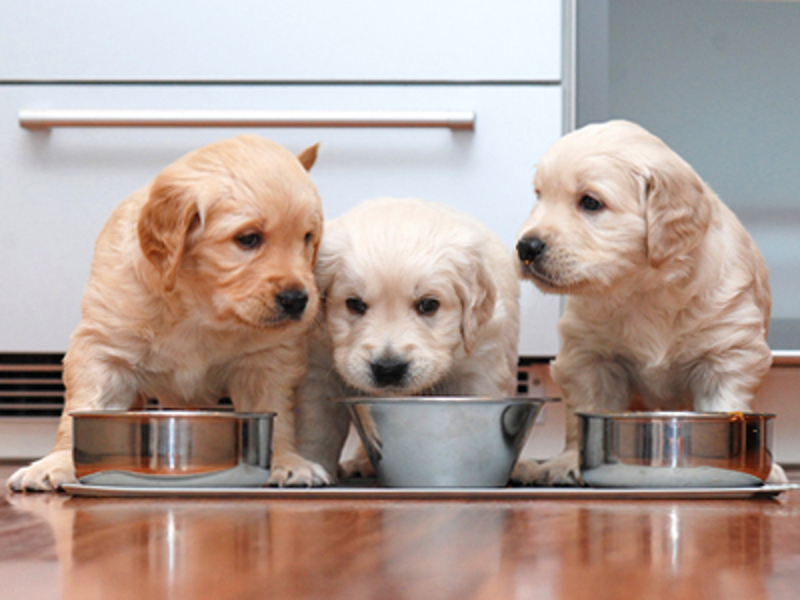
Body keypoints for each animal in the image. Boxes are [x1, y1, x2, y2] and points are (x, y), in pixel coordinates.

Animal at [9, 134, 328, 490]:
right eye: (248, 239)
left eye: (308, 237)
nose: (297, 300)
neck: (200, 308)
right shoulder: (103, 350)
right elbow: (80, 410)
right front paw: (57, 462)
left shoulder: (268, 358)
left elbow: (276, 412)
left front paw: (287, 461)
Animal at [296, 199, 520, 480]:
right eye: (354, 304)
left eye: (428, 304)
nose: (388, 369)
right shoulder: (318, 367)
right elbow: (317, 431)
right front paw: (309, 469)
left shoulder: (481, 364)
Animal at [512, 119, 780, 486]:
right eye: (539, 195)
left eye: (590, 202)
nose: (525, 247)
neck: (643, 289)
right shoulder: (588, 356)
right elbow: (584, 410)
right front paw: (568, 462)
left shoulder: (728, 353)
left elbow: (724, 404)